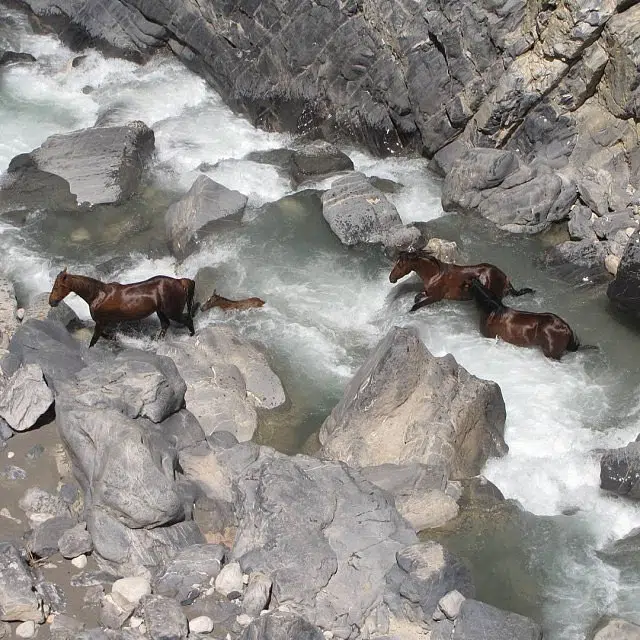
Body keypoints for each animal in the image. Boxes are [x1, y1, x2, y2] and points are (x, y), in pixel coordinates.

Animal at [48, 268, 195, 348]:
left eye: (57, 287)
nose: (51, 302)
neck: (98, 295)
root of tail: (180, 281)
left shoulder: (101, 322)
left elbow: (95, 338)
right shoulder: (104, 322)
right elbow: (103, 335)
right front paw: (115, 338)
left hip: (172, 311)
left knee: (187, 319)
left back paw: (192, 335)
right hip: (161, 311)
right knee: (165, 325)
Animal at [390, 249, 536, 312]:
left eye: (400, 264)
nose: (391, 278)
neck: (434, 275)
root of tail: (505, 277)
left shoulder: (436, 297)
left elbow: (416, 306)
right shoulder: (428, 292)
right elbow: (417, 297)